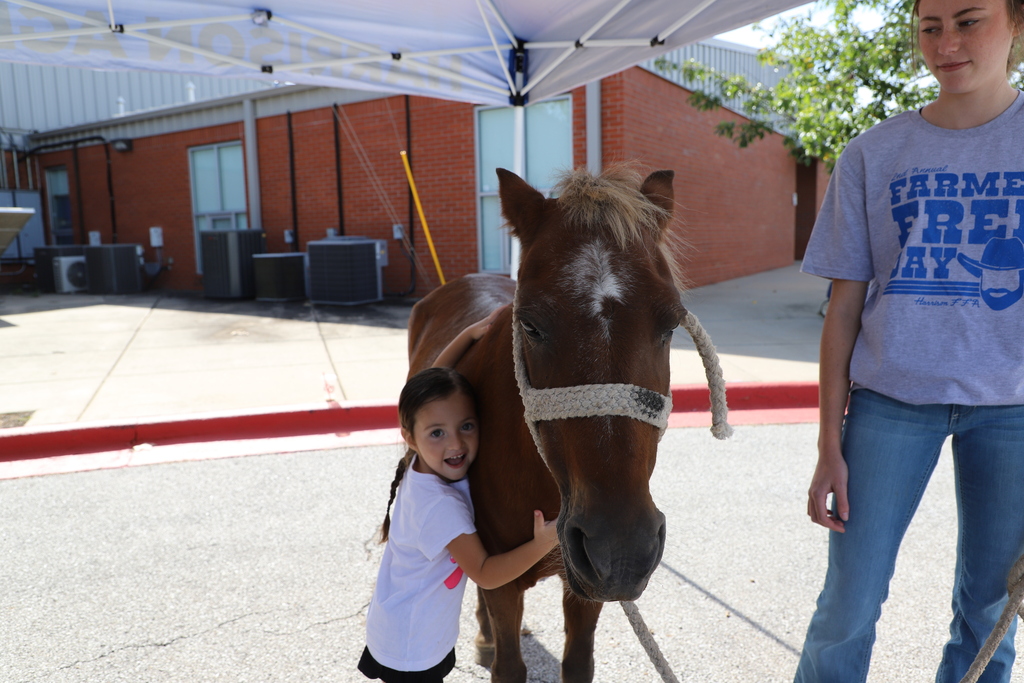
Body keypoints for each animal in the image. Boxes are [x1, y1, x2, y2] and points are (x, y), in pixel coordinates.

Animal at [406, 165, 690, 683]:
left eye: (671, 324)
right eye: (531, 325)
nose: (621, 548)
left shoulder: (586, 586)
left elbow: (577, 663)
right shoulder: (501, 579)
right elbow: (508, 662)